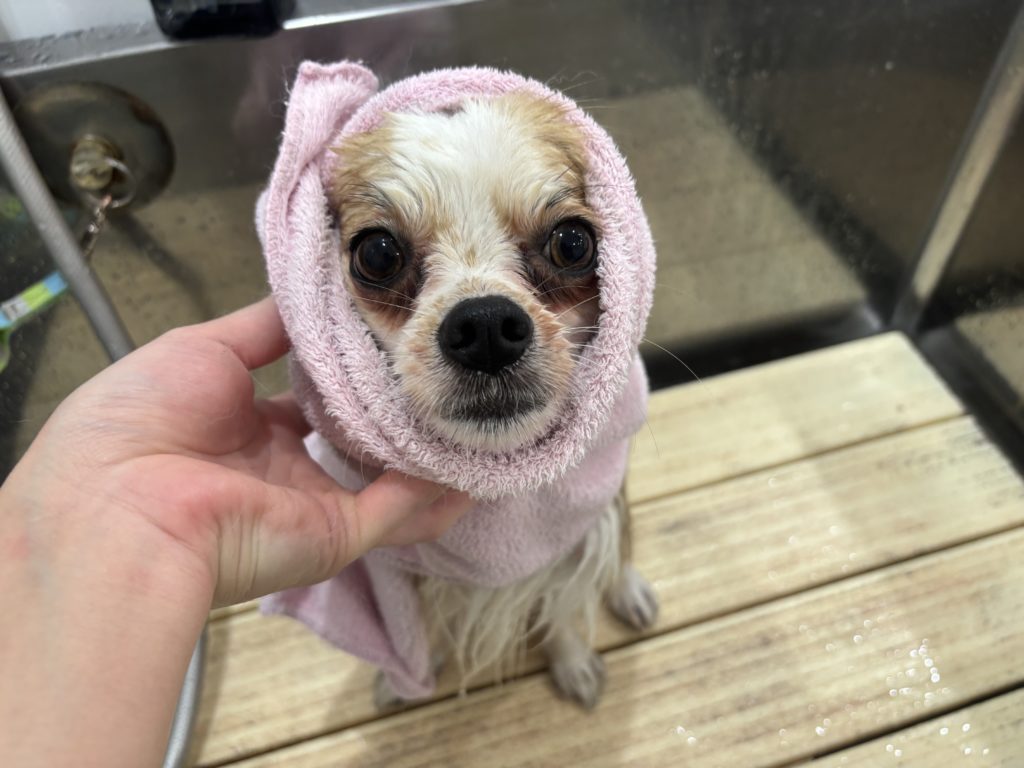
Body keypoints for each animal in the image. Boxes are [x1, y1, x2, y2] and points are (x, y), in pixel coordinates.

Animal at [326, 91, 658, 709]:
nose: (483, 327)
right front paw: (404, 677)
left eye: (572, 242)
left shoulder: (568, 542)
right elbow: (421, 624)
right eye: (377, 254)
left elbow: (564, 604)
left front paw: (572, 663)